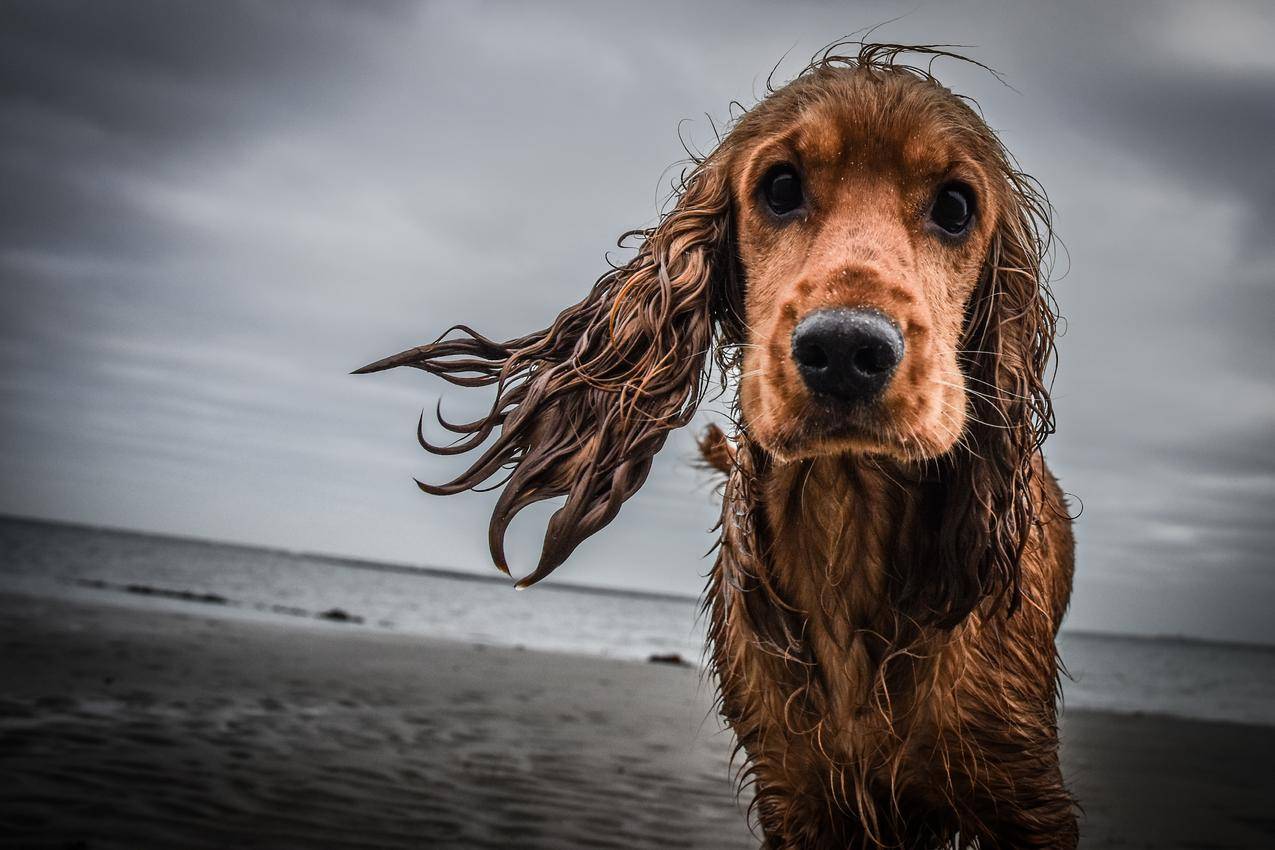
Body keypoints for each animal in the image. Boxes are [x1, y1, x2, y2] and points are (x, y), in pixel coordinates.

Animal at [359, 46, 1076, 850]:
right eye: (780, 187)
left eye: (955, 207)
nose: (845, 351)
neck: (846, 525)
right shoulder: (794, 789)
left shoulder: (1018, 785)